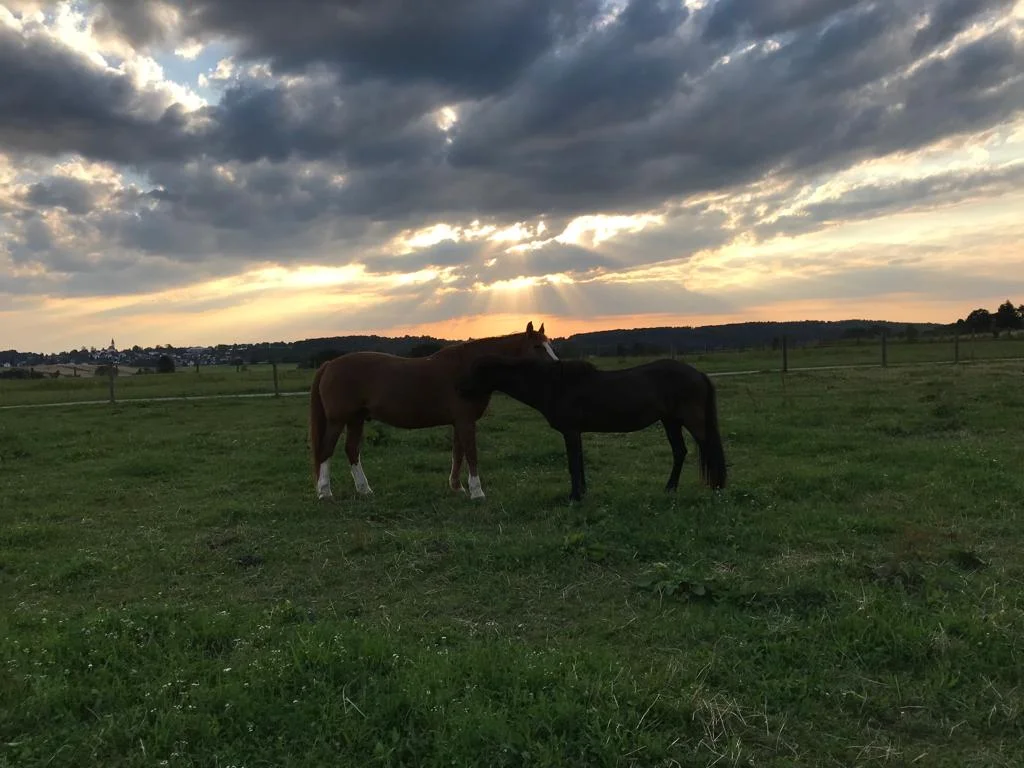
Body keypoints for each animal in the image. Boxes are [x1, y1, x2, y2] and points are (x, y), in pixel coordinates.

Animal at [309, 322, 557, 501]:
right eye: (537, 347)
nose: (556, 367)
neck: (468, 370)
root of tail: (329, 364)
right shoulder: (466, 421)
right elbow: (471, 454)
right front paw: (477, 492)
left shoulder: (459, 422)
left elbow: (458, 454)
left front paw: (457, 488)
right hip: (338, 420)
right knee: (326, 450)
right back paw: (325, 492)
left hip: (356, 419)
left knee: (351, 450)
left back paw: (364, 490)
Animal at [459, 356, 727, 501]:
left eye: (476, 372)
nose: (461, 392)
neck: (554, 385)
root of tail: (698, 373)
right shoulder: (575, 433)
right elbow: (579, 463)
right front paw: (582, 493)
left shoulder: (570, 432)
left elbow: (573, 464)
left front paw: (574, 497)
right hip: (670, 421)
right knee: (680, 452)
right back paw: (670, 489)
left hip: (690, 422)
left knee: (708, 448)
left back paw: (716, 487)